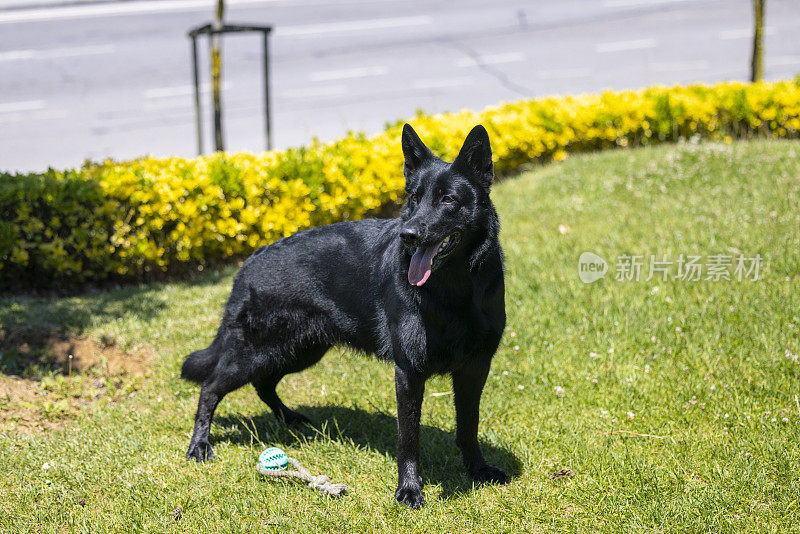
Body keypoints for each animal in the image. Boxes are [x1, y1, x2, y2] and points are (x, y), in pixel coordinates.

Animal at [181, 123, 506, 508]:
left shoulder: (475, 368)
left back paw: (289, 419)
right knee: (210, 387)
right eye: (413, 197)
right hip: (255, 353)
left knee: (263, 383)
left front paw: (477, 469)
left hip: (299, 351)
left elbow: (468, 426)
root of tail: (248, 264)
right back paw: (199, 445)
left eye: (447, 200)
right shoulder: (409, 373)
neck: (453, 290)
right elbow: (408, 438)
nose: (407, 235)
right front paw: (409, 489)